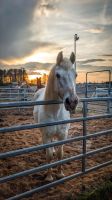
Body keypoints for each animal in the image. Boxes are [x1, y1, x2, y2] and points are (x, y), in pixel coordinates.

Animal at [33, 51, 78, 181]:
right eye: (57, 75)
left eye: (76, 75)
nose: (72, 102)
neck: (55, 112)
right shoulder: (46, 135)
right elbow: (49, 156)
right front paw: (49, 177)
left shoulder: (63, 135)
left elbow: (60, 154)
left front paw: (60, 174)